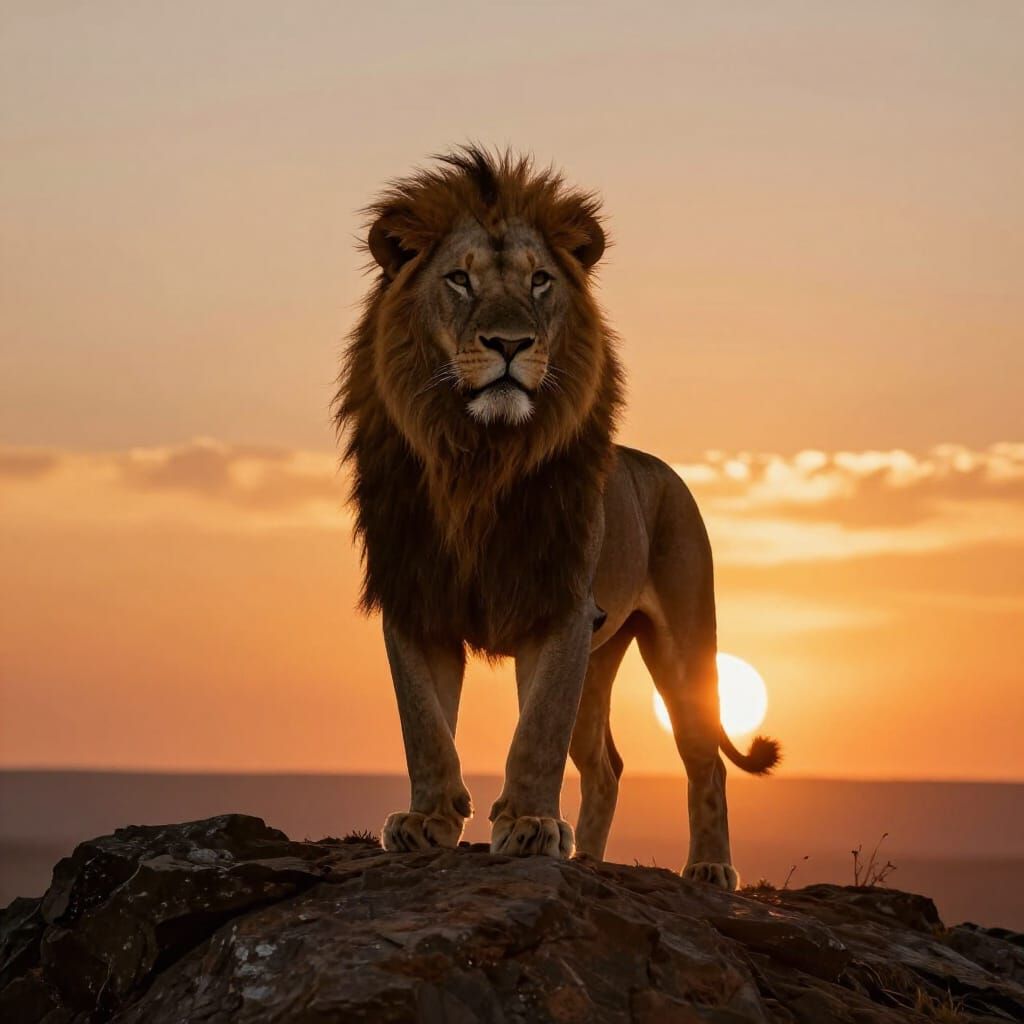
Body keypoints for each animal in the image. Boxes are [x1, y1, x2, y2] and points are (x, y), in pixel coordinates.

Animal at [334, 147, 779, 890]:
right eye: (459, 279)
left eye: (540, 280)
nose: (510, 343)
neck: (478, 459)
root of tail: (666, 471)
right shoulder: (417, 598)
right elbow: (424, 724)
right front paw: (428, 819)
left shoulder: (560, 606)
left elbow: (536, 731)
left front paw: (530, 825)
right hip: (600, 661)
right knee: (607, 765)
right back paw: (591, 858)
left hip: (683, 642)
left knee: (704, 758)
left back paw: (711, 868)